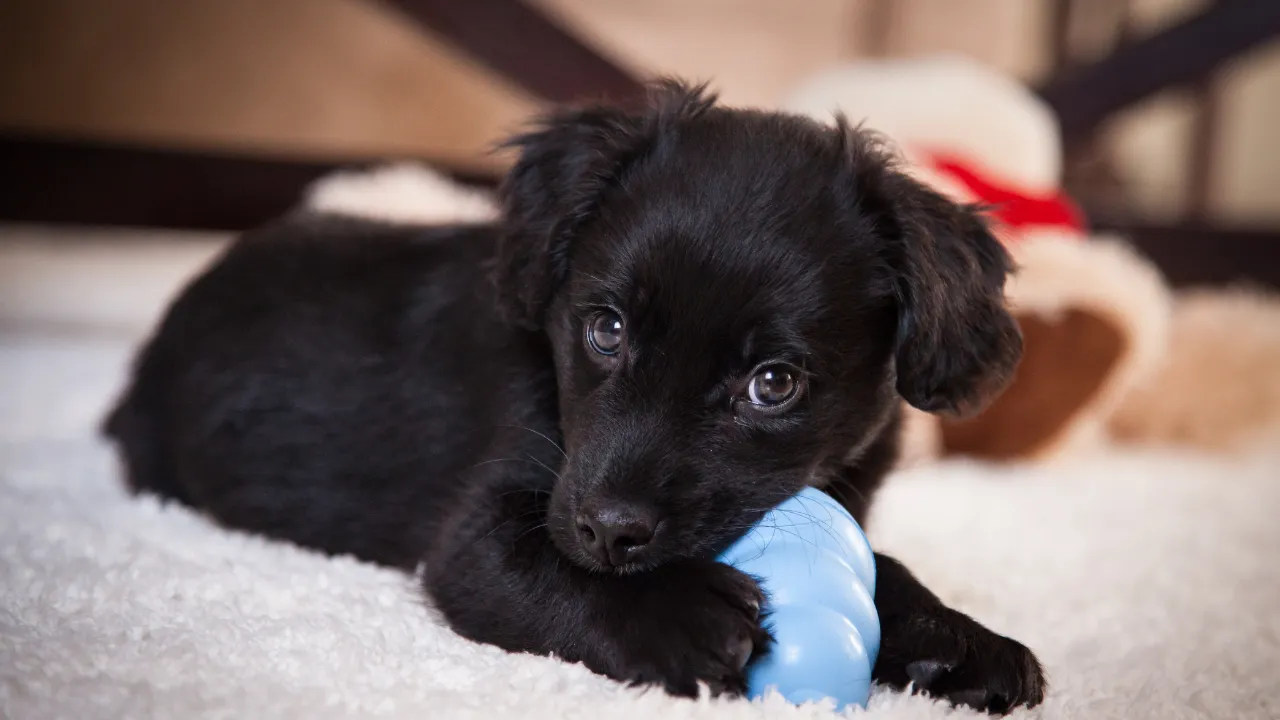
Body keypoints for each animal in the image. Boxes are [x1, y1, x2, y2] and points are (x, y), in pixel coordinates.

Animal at [107, 83, 1039, 712]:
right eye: (607, 329)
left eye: (773, 384)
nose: (610, 532)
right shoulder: (478, 536)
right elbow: (538, 567)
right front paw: (677, 611)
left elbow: (886, 566)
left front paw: (958, 640)